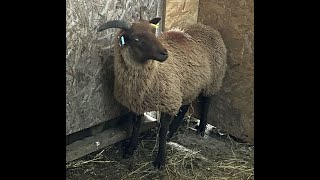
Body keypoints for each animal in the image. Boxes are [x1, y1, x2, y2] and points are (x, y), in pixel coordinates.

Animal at [97, 14, 228, 170]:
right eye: (136, 39)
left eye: (153, 32)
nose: (165, 53)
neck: (154, 73)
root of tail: (206, 26)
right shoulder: (138, 103)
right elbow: (136, 127)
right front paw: (130, 149)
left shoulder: (168, 102)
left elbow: (162, 132)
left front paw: (160, 159)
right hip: (189, 84)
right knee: (185, 107)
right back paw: (173, 130)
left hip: (214, 78)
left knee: (207, 101)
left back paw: (201, 128)